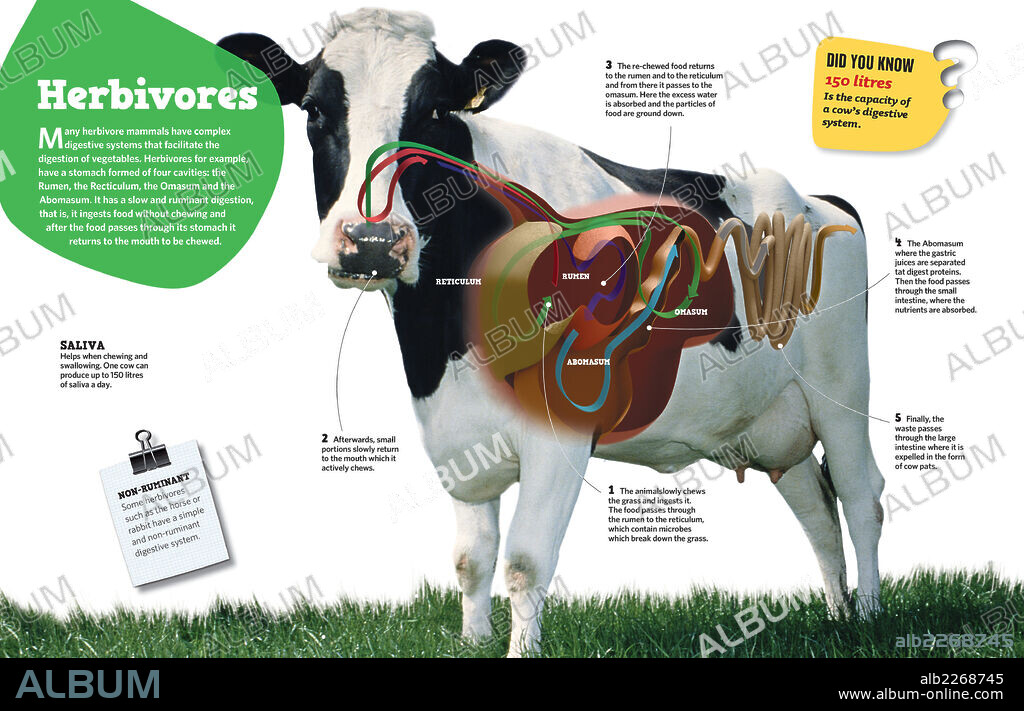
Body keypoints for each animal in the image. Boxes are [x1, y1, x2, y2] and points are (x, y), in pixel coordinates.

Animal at [219, 8, 885, 657]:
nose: (373, 240)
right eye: (314, 110)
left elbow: (525, 561)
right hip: (769, 417)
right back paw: (835, 617)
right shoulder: (454, 430)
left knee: (860, 496)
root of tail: (818, 200)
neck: (441, 340)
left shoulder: (559, 430)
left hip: (842, 390)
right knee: (816, 507)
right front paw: (473, 641)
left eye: (434, 112)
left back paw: (869, 619)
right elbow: (471, 559)